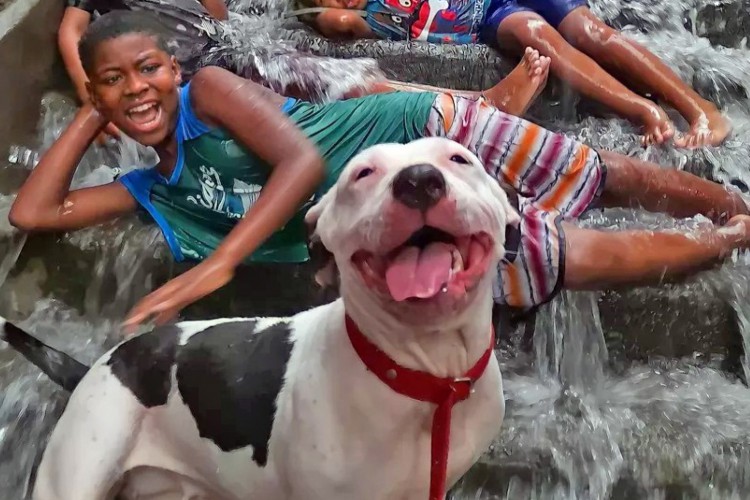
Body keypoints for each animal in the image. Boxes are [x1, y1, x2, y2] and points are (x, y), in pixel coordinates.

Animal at [4, 138, 524, 500]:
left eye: (459, 159)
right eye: (363, 173)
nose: (417, 180)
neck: (428, 379)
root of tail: (95, 365)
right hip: (75, 471)